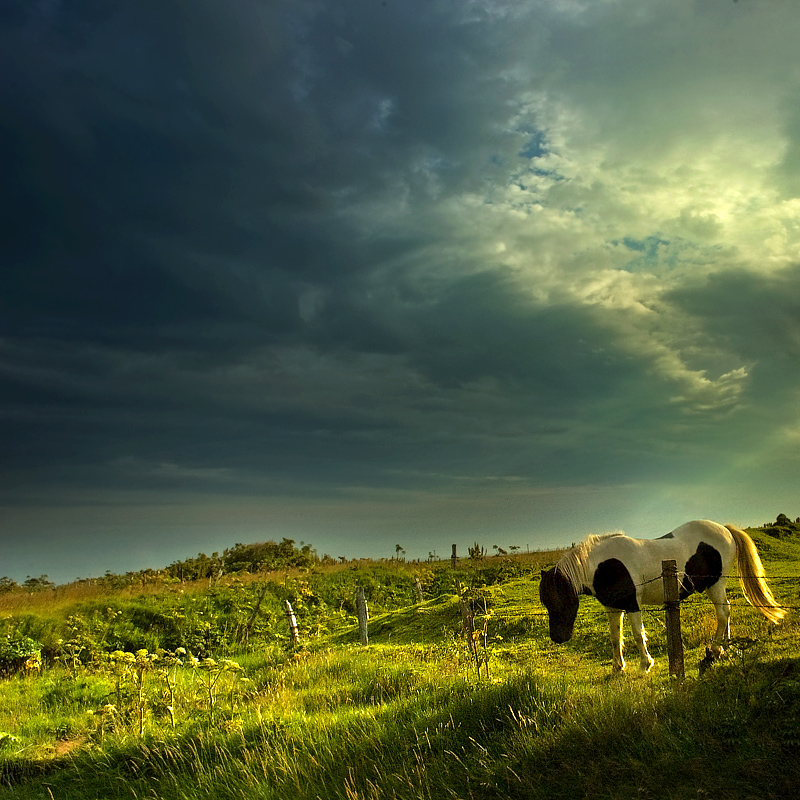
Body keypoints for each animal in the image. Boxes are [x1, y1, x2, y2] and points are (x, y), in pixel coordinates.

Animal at [540, 520, 784, 672]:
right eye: (546, 602)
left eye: (559, 599)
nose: (558, 638)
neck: (602, 565)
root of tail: (724, 529)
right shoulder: (613, 607)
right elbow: (615, 637)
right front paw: (618, 667)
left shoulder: (632, 604)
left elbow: (638, 634)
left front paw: (645, 664)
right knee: (726, 610)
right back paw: (726, 644)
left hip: (716, 583)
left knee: (723, 612)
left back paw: (716, 649)